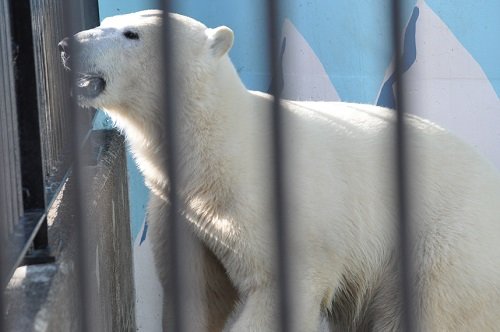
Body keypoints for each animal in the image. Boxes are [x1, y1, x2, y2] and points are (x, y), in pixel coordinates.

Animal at [60, 9, 500, 330]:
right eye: (103, 21)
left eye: (131, 34)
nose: (67, 44)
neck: (217, 153)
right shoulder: (185, 215)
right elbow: (196, 293)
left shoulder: (274, 212)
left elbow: (280, 288)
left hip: (445, 241)